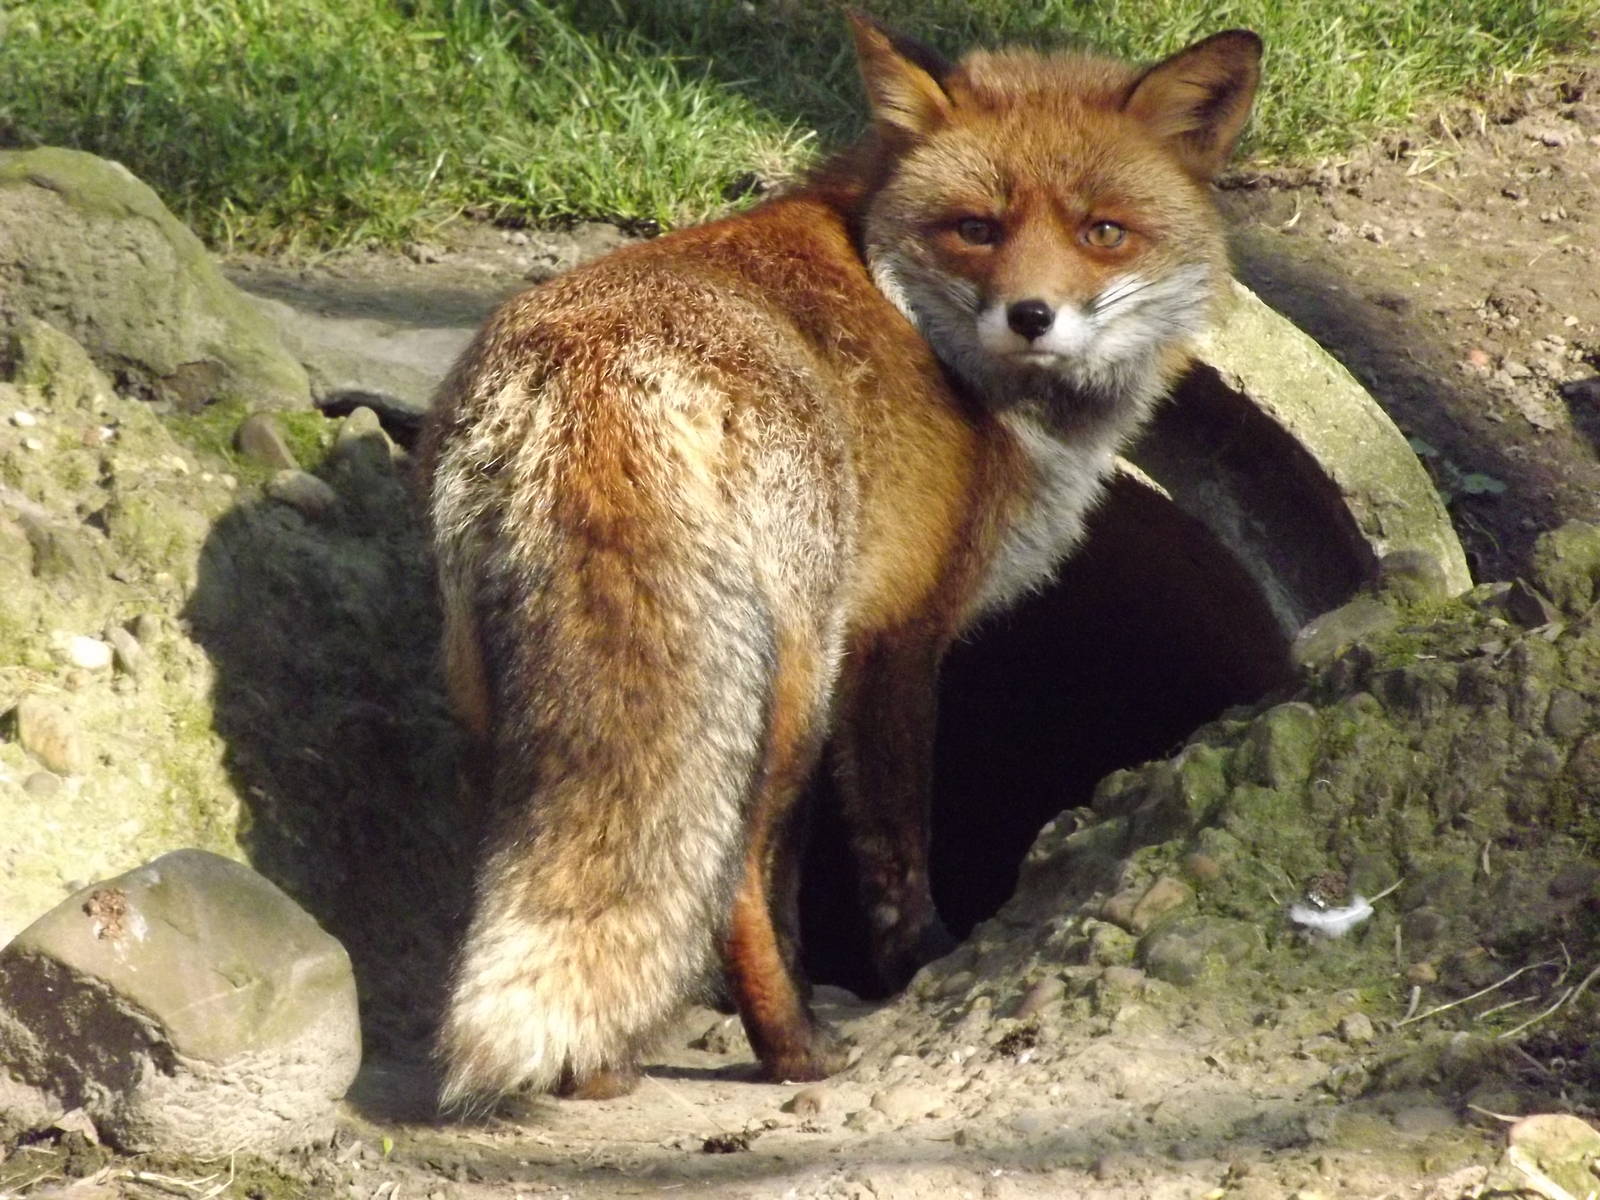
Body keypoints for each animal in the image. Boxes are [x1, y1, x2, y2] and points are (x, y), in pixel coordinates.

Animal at [418, 13, 1261, 1106]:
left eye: (1101, 231)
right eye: (977, 229)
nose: (1031, 315)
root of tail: (593, 377)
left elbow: (797, 866)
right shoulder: (898, 632)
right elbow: (892, 839)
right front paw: (916, 964)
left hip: (517, 692)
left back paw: (602, 1065)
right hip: (790, 680)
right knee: (729, 869)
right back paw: (795, 1053)